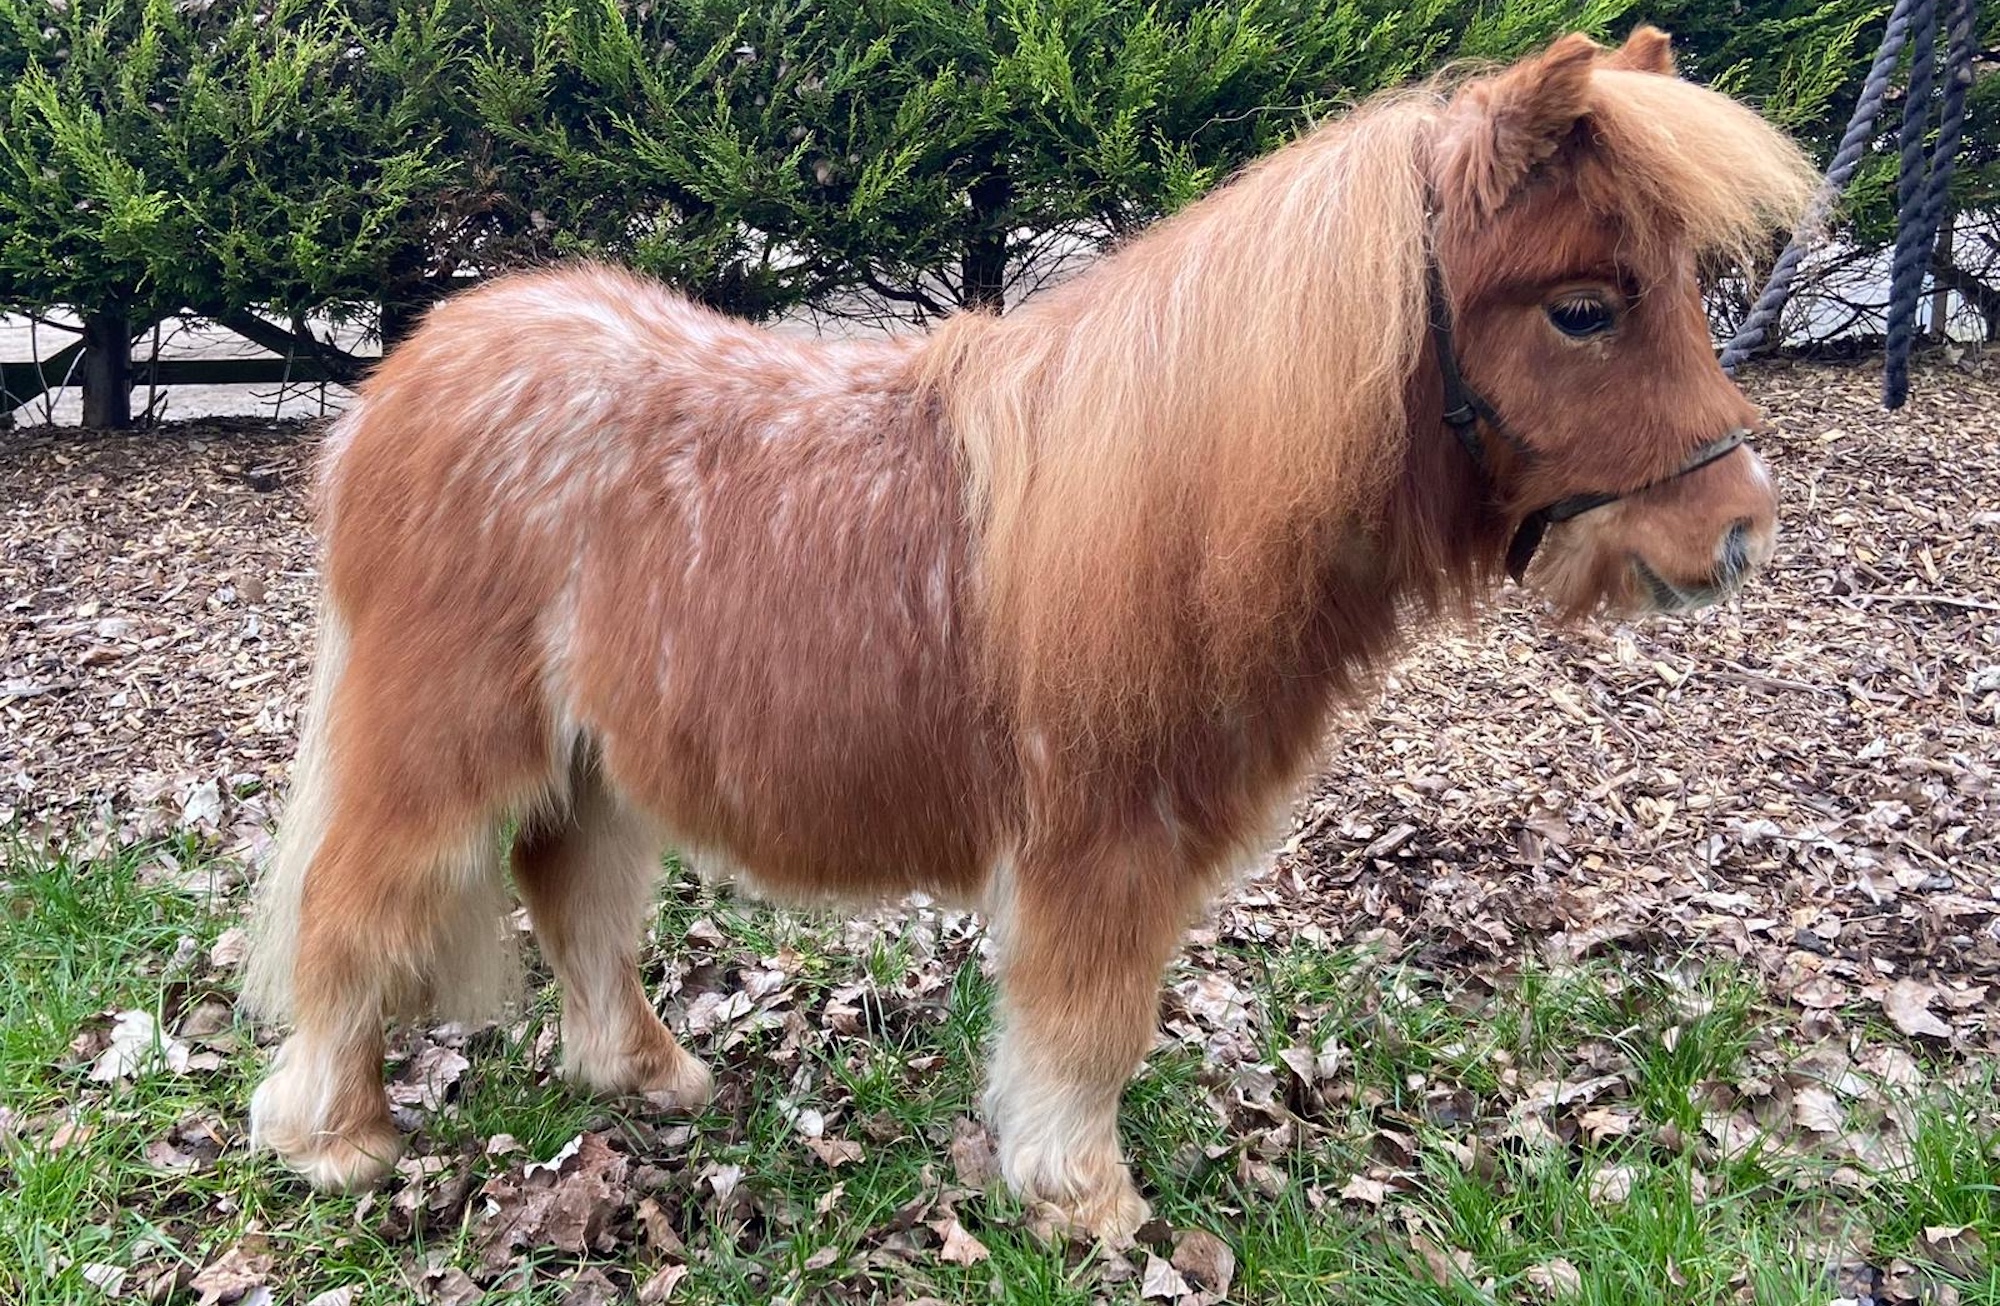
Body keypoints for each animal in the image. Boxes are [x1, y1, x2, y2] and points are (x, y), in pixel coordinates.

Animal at [244, 27, 1815, 1241]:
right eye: (1582, 308)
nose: (1736, 530)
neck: (1189, 493)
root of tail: (405, 381)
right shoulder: (1102, 844)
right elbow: (1089, 1026)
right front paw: (1083, 1199)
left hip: (586, 755)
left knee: (568, 889)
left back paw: (644, 1072)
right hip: (439, 740)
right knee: (356, 906)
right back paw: (332, 1133)